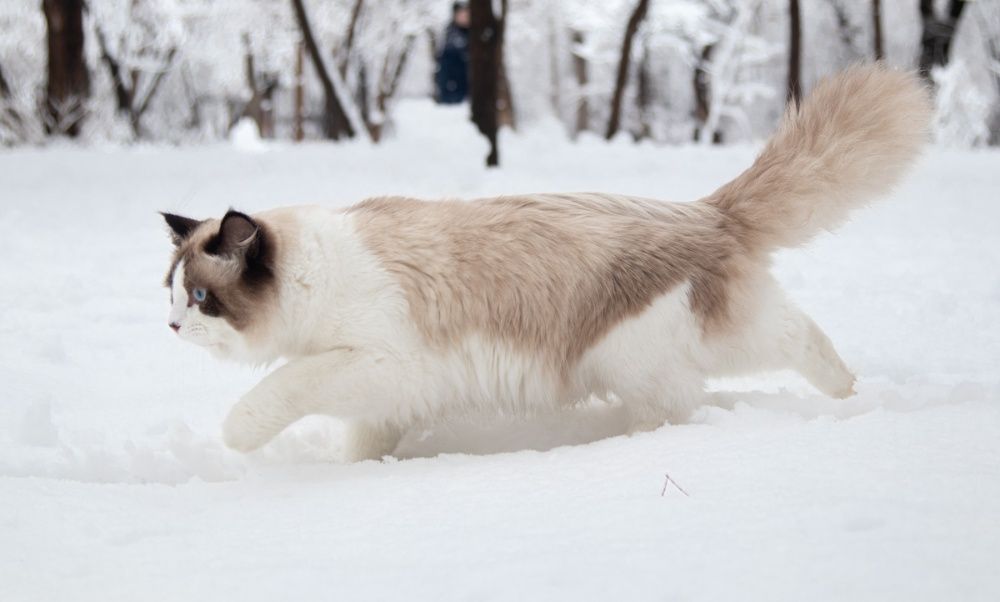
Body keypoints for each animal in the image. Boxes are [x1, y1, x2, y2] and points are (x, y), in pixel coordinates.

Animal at [162, 64, 928, 460]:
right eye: (170, 294)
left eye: (199, 299)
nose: (169, 329)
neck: (312, 276)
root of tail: (709, 211)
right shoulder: (386, 395)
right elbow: (360, 443)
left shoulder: (374, 363)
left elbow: (271, 396)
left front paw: (237, 438)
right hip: (705, 343)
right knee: (803, 336)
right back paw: (852, 396)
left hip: (640, 364)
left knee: (714, 390)